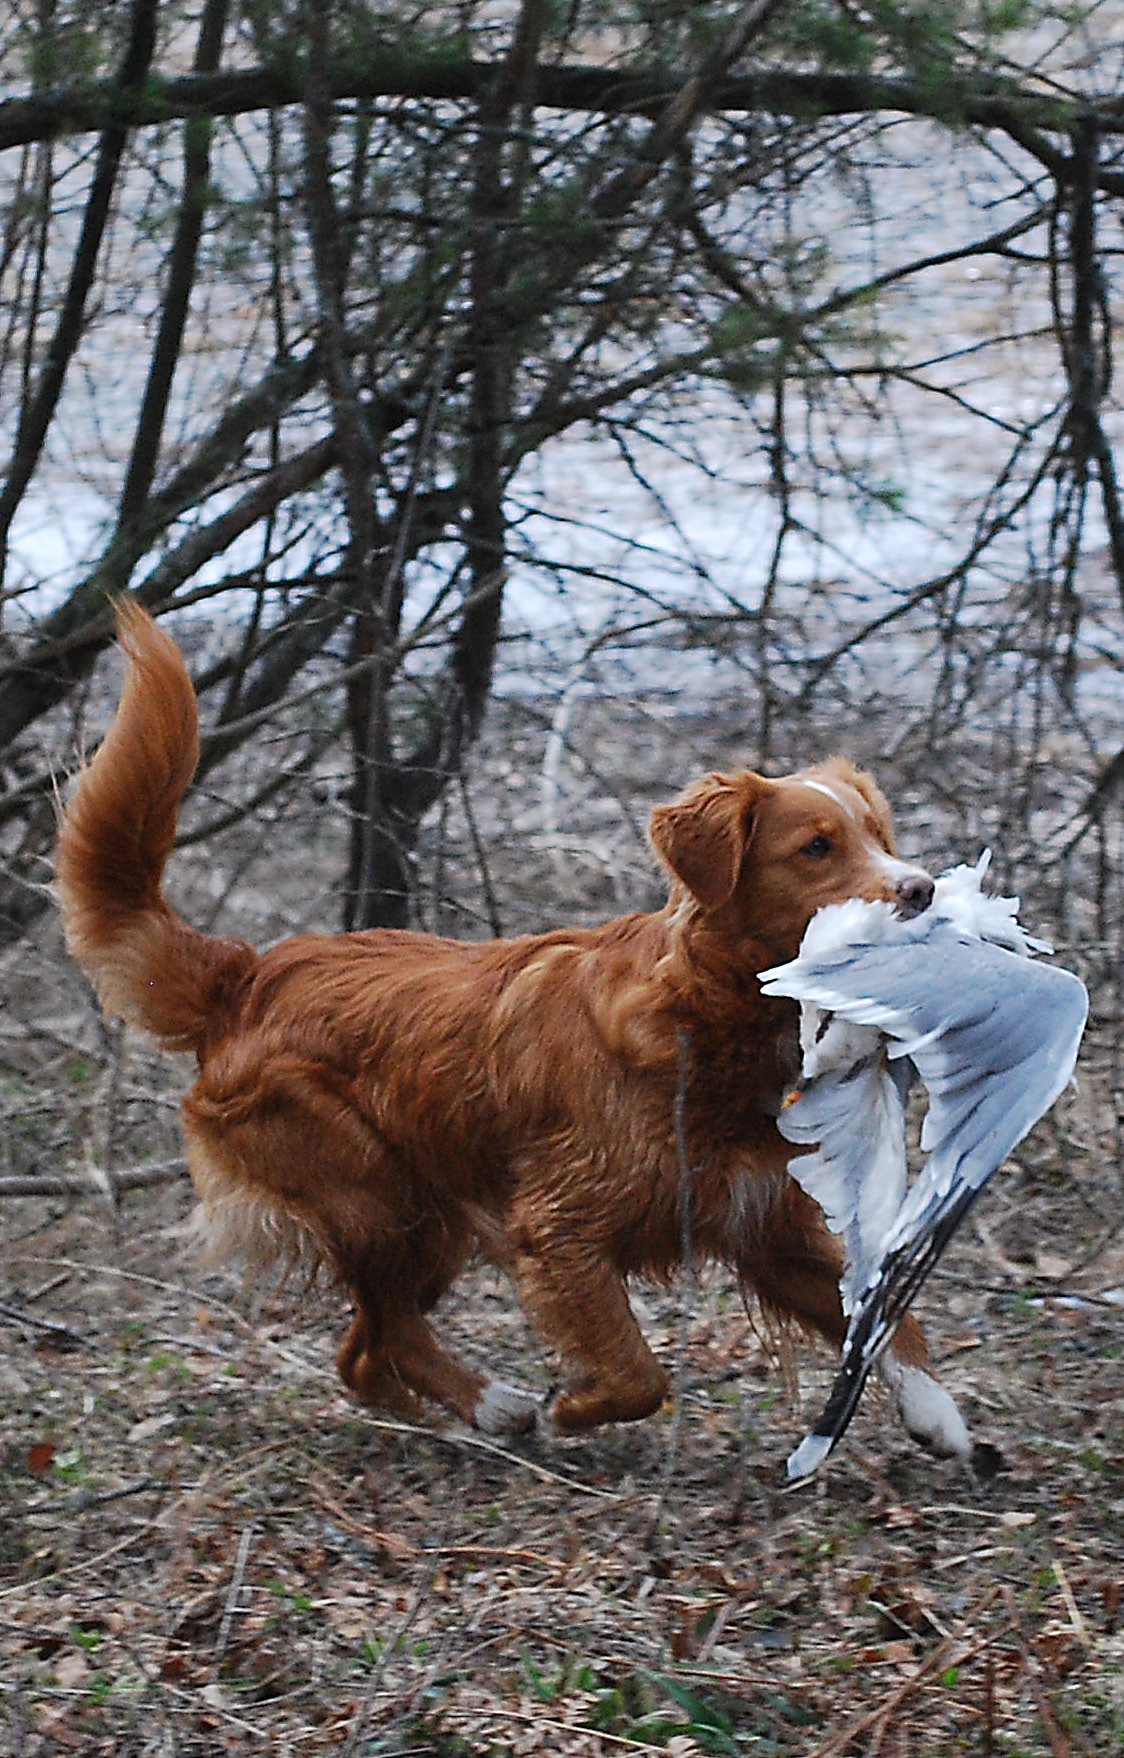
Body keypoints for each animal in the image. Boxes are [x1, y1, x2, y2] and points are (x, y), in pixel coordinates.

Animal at [57, 604, 978, 1469]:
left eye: (881, 837)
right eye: (818, 847)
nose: (922, 889)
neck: (704, 1017)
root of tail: (247, 975)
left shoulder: (767, 1224)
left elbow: (880, 1317)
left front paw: (937, 1413)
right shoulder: (561, 1224)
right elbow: (639, 1373)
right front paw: (576, 1406)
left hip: (427, 1214)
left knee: (364, 1352)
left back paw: (473, 1414)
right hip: (377, 1193)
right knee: (385, 1331)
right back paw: (499, 1406)